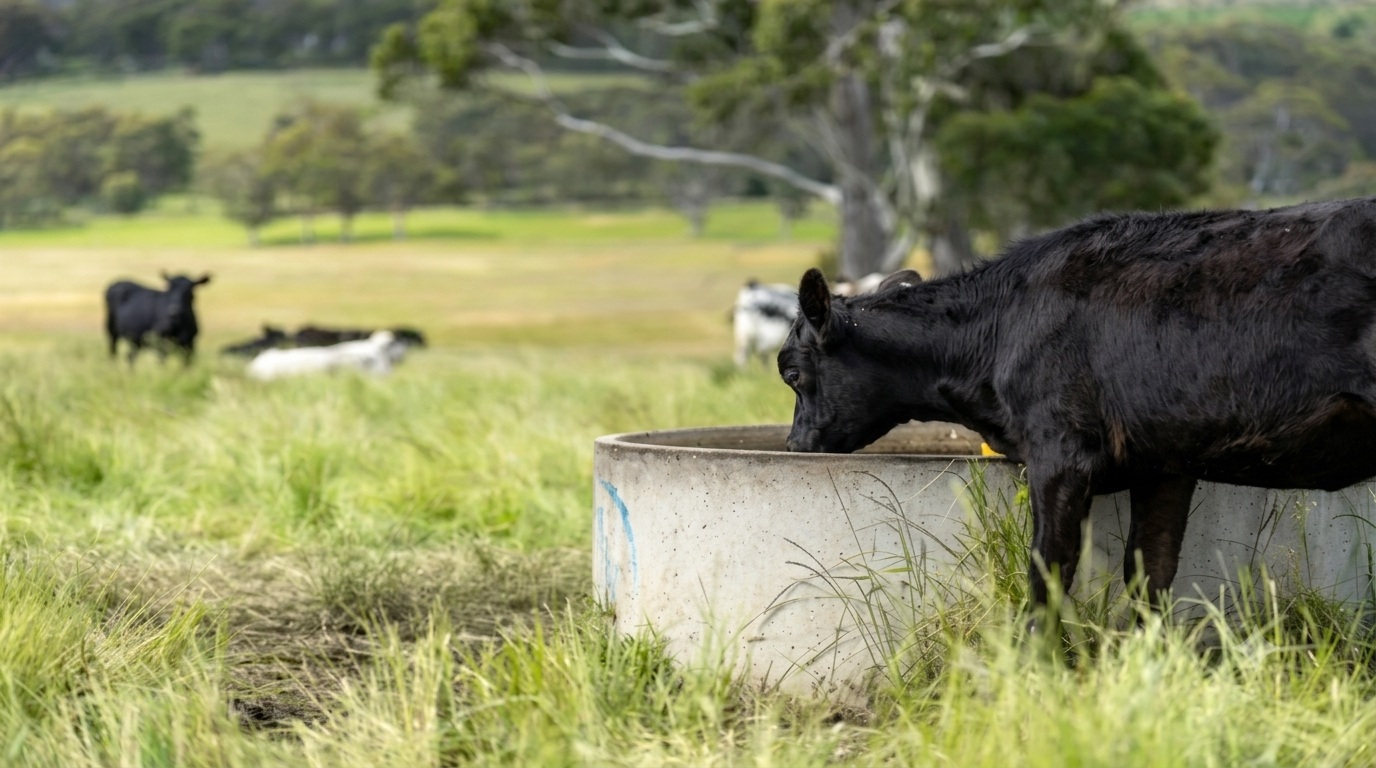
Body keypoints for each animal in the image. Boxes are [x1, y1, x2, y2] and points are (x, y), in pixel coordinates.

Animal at [778, 198, 1376, 612]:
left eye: (792, 373)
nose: (794, 443)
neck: (1000, 328)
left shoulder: (1061, 454)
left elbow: (1047, 576)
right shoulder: (1165, 463)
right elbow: (1150, 574)